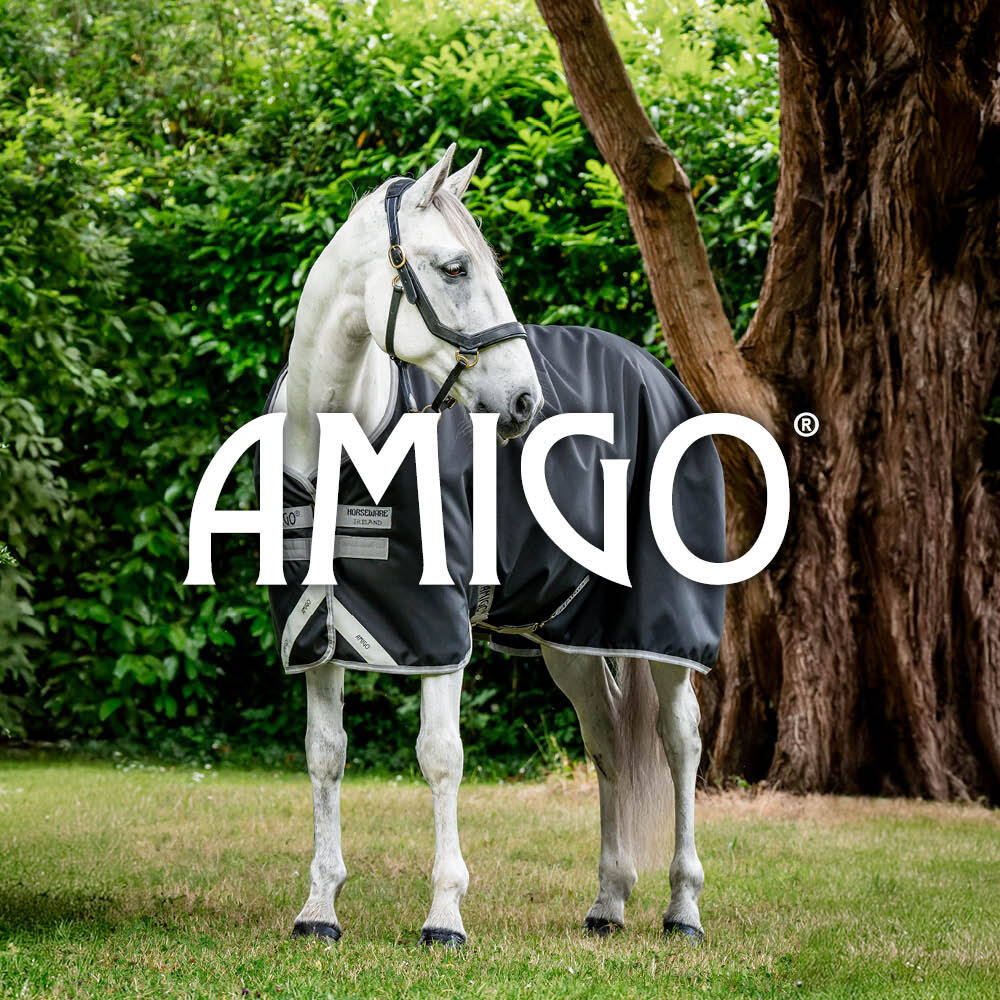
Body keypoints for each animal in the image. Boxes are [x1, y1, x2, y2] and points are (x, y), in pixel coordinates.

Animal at [266, 144, 721, 946]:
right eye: (455, 268)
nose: (524, 402)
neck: (342, 441)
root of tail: (656, 372)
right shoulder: (315, 630)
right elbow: (325, 758)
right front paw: (319, 907)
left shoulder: (438, 629)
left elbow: (441, 757)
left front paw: (444, 915)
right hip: (567, 636)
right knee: (608, 740)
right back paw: (608, 902)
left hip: (661, 629)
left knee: (679, 742)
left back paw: (683, 908)